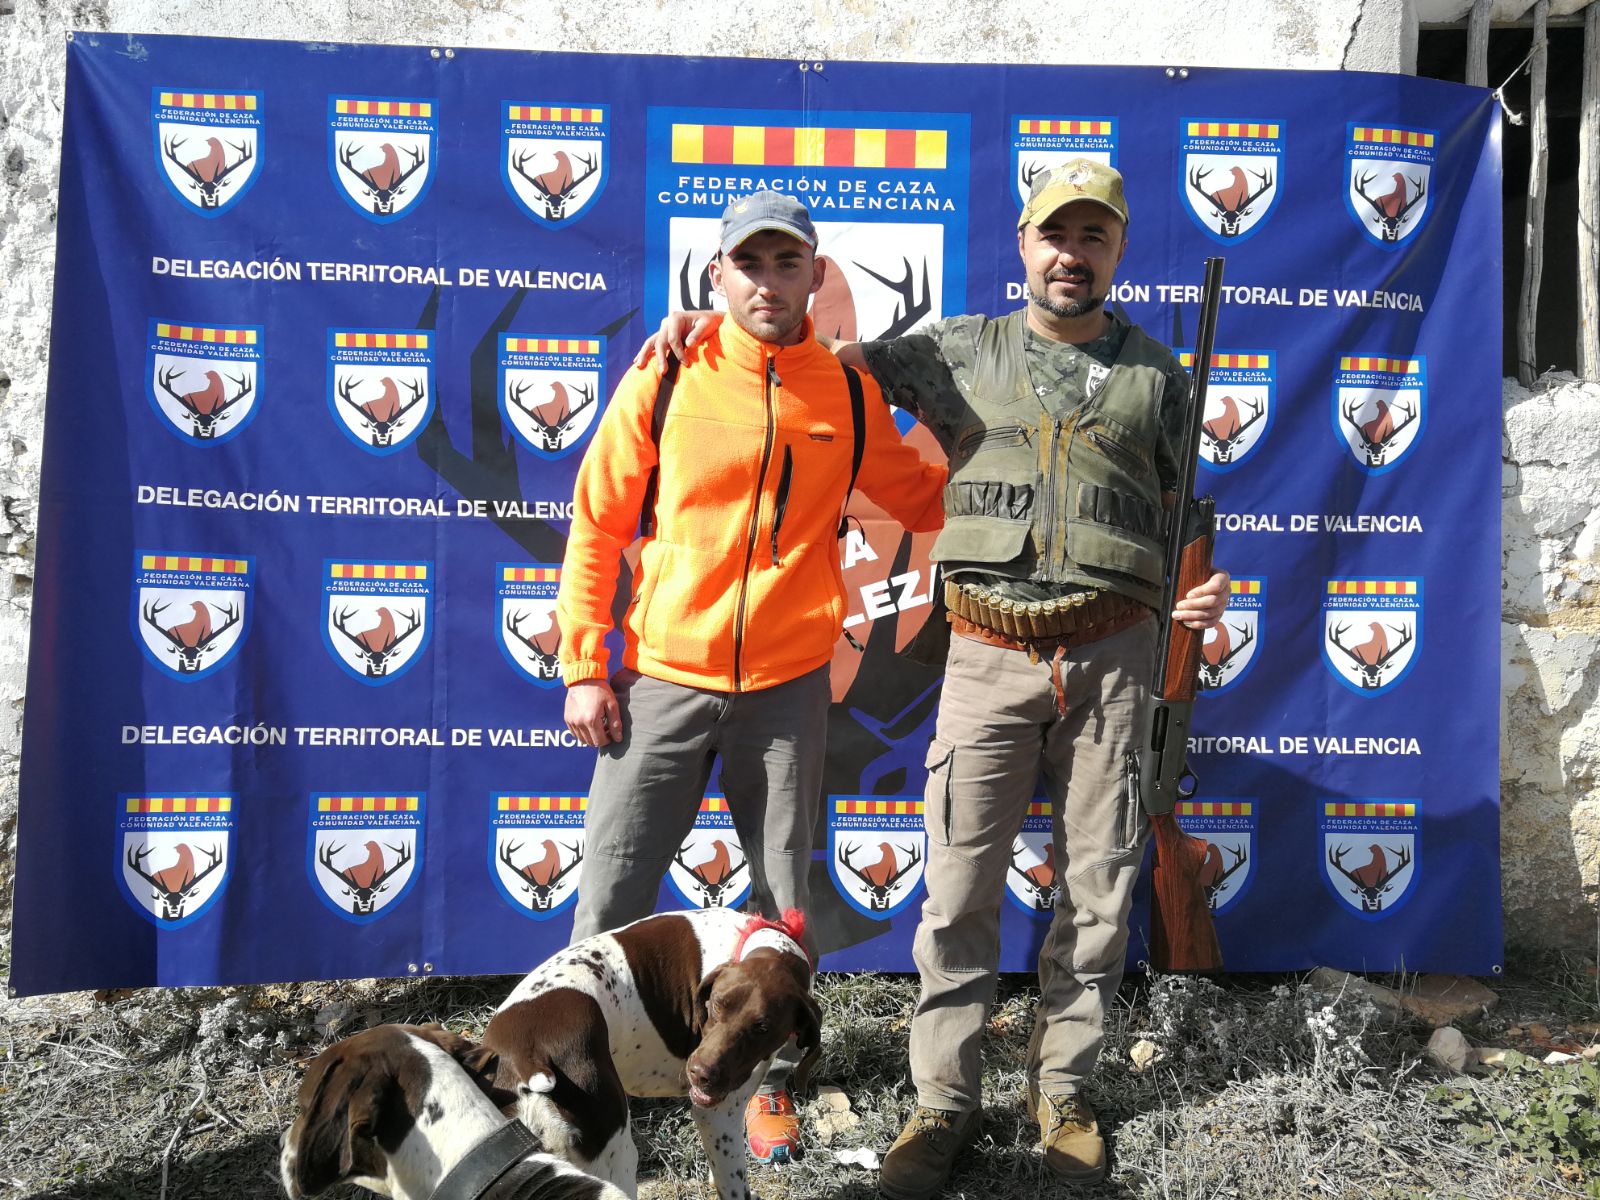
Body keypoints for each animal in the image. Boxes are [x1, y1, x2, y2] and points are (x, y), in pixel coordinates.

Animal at [482, 907, 822, 1200]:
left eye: (762, 1027)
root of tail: (529, 1058)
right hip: (616, 1158)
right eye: (716, 1005)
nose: (699, 1073)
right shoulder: (719, 1114)